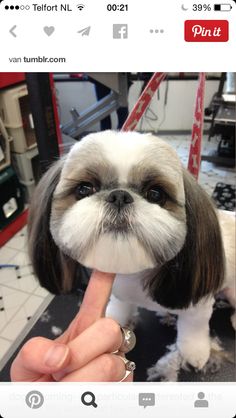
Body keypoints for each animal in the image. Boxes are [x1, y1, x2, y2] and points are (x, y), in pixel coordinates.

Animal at [28, 130, 236, 378]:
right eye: (84, 189)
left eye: (156, 193)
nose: (119, 196)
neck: (134, 274)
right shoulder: (120, 293)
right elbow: (120, 306)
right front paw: (113, 319)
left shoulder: (198, 303)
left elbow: (193, 329)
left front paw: (195, 354)